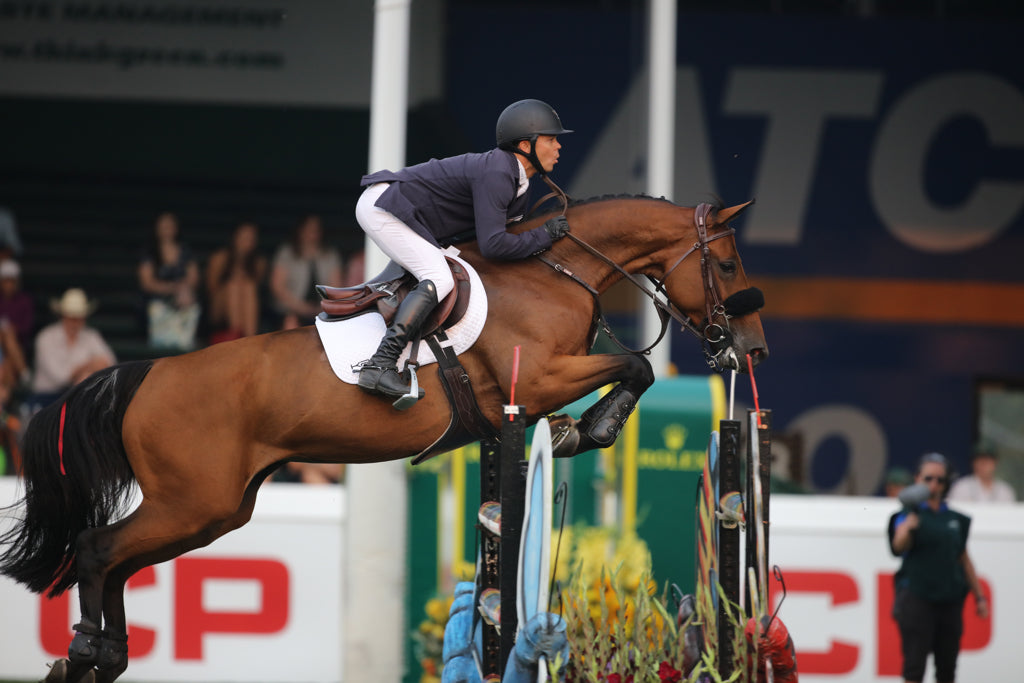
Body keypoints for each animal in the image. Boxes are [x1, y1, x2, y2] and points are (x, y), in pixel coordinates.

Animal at [2, 194, 770, 679]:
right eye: (730, 265)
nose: (752, 349)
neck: (555, 271)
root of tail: (146, 372)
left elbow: (631, 370)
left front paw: (578, 430)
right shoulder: (540, 374)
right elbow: (636, 365)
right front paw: (591, 427)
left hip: (213, 510)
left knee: (116, 560)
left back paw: (103, 654)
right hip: (193, 502)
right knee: (97, 549)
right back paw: (91, 651)